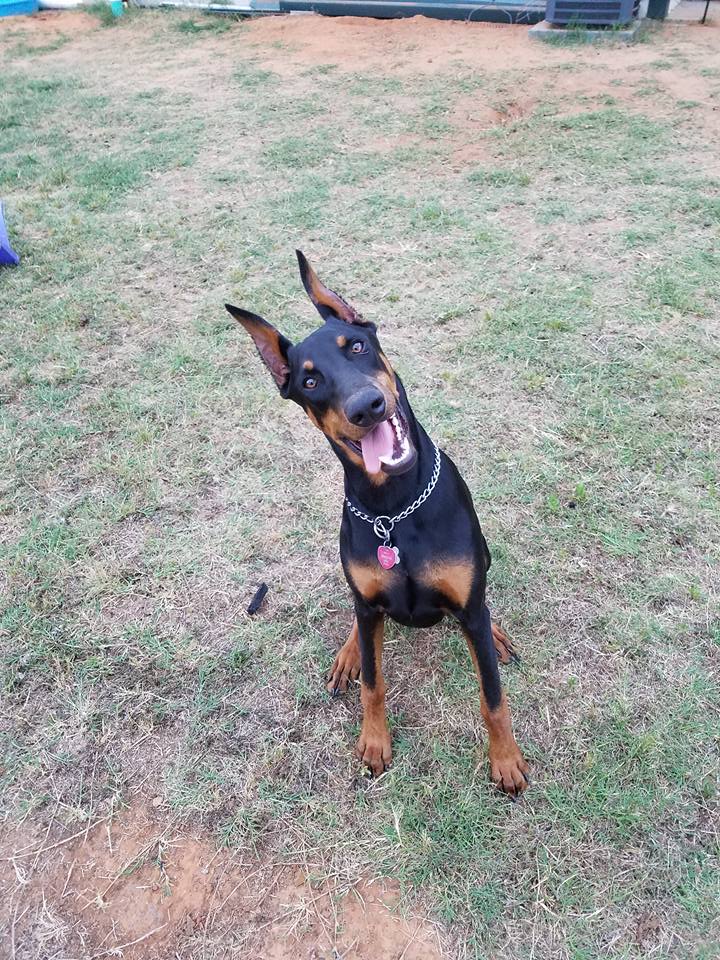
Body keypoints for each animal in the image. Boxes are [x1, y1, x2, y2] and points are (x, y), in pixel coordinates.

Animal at [228, 253, 532, 796]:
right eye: (309, 381)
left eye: (357, 346)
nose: (364, 407)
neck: (394, 507)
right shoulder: (368, 603)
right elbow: (373, 683)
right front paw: (373, 742)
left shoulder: (468, 605)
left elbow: (493, 696)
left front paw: (505, 760)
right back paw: (350, 652)